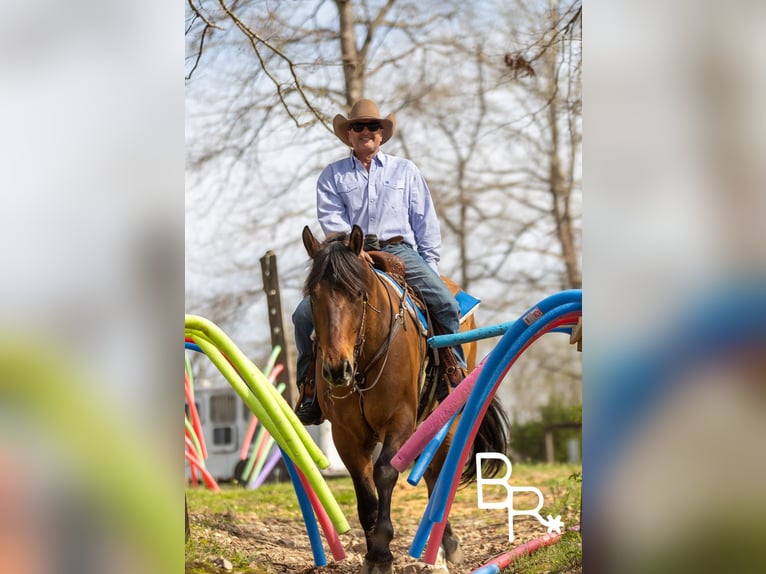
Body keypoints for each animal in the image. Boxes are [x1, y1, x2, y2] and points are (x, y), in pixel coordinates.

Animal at [302, 225, 510, 574]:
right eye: (313, 296)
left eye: (357, 294)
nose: (336, 369)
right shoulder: (345, 434)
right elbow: (364, 490)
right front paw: (372, 551)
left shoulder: (399, 419)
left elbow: (386, 472)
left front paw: (382, 551)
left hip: (444, 416)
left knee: (436, 472)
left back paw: (445, 548)